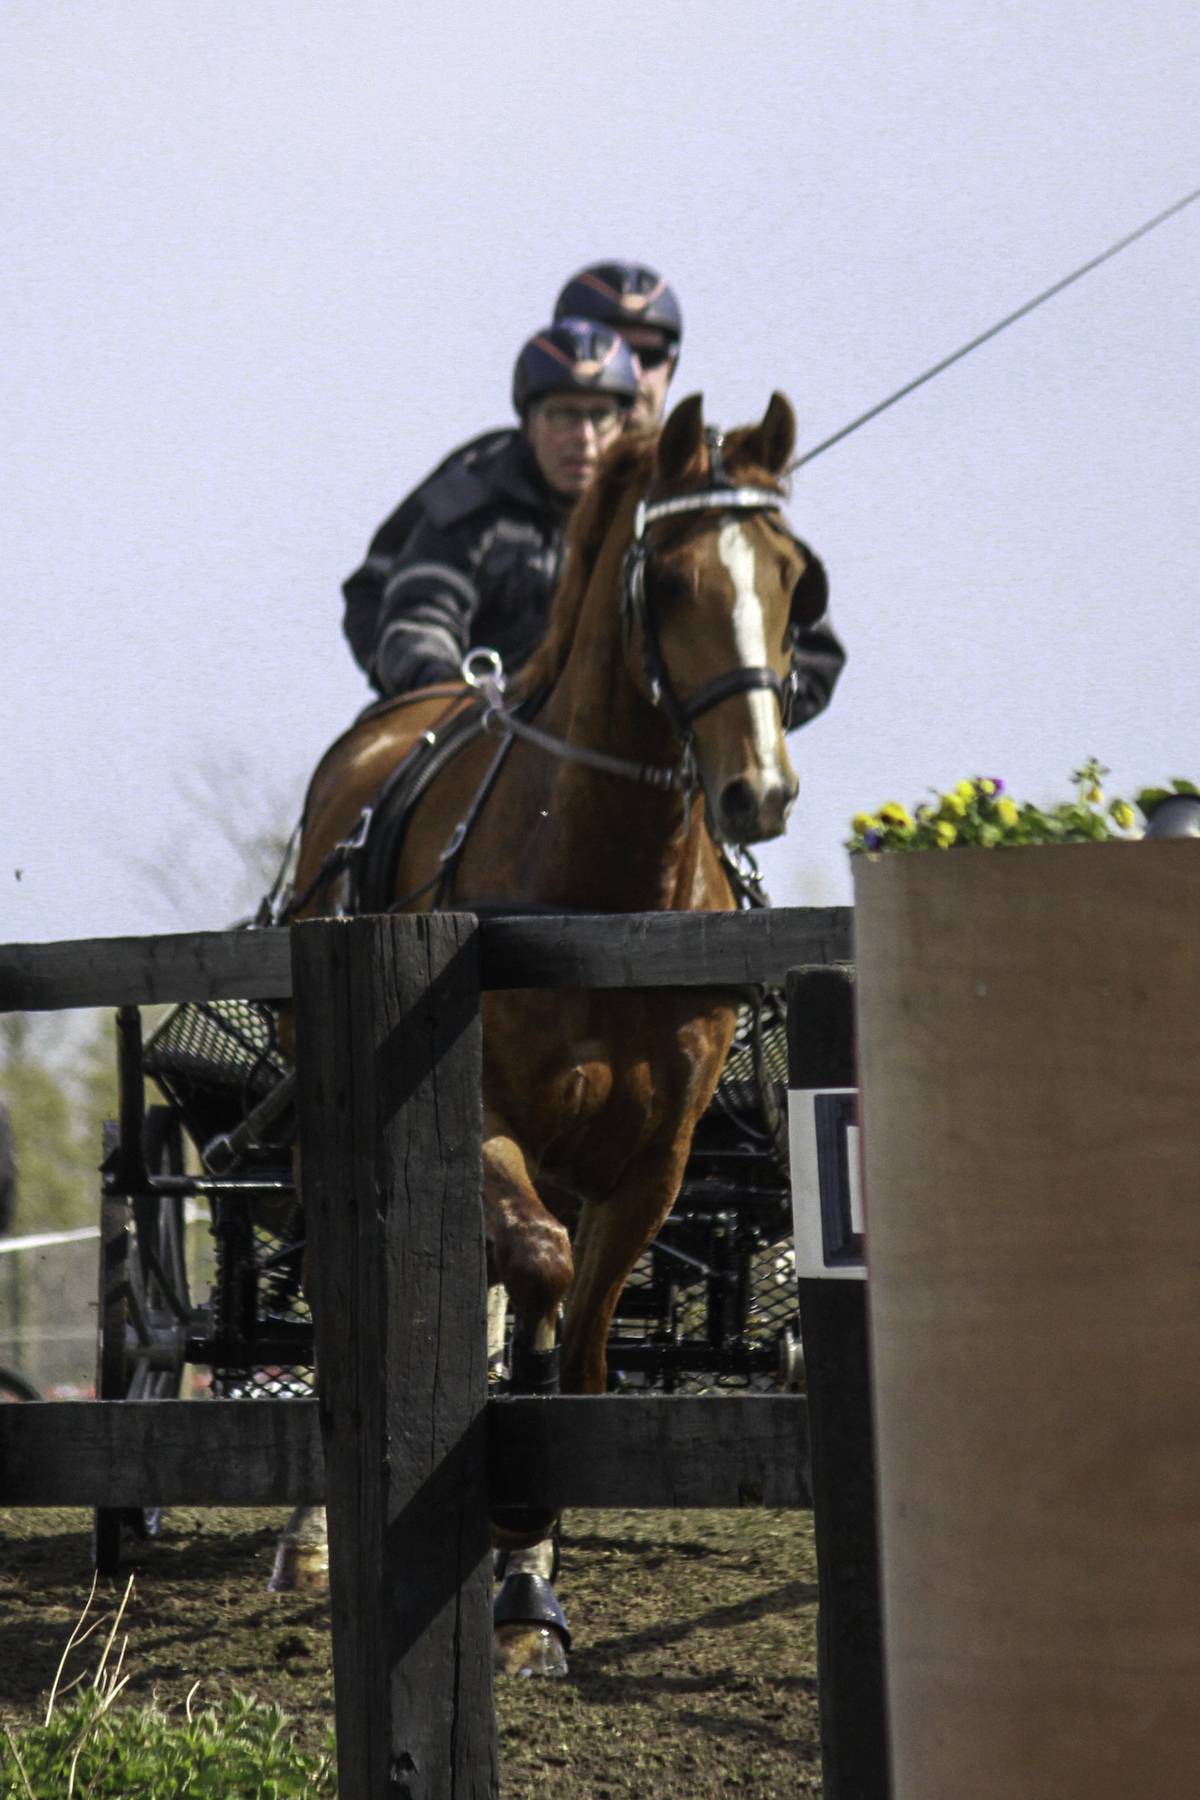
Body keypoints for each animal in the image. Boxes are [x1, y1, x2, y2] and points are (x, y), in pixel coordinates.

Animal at [277, 390, 826, 1672]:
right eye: (667, 580)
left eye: (792, 577)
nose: (760, 791)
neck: (601, 892)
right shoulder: (478, 1119)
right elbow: (535, 1269)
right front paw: (513, 1512)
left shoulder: (653, 1160)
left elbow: (581, 1342)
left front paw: (530, 1580)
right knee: (345, 1293)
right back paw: (313, 1534)